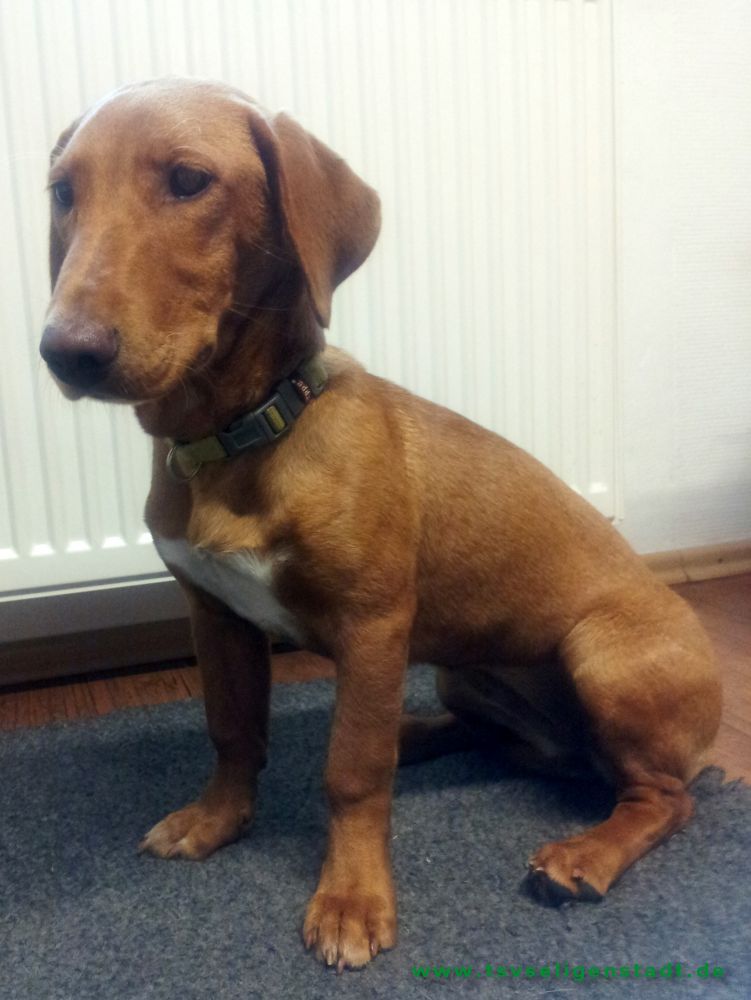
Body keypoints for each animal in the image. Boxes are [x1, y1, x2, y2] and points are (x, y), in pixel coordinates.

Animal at [40, 78, 721, 971]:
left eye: (188, 182)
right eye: (61, 193)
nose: (64, 353)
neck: (241, 435)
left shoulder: (371, 625)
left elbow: (353, 773)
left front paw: (352, 900)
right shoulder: (215, 615)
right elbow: (232, 729)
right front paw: (217, 821)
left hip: (600, 657)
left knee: (661, 797)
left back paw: (583, 855)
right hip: (459, 669)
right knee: (500, 739)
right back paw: (420, 732)